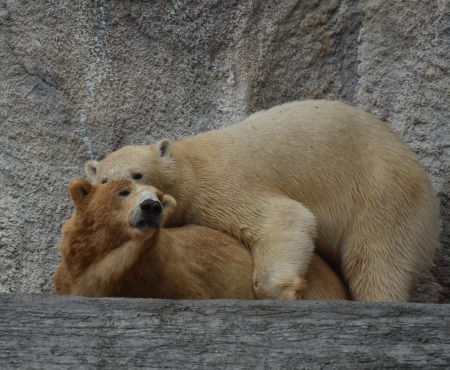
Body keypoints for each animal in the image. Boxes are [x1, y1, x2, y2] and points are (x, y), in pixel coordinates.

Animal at [84, 100, 440, 300]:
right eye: (104, 181)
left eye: (137, 174)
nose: (140, 204)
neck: (189, 162)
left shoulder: (222, 183)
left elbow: (283, 217)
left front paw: (282, 291)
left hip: (385, 194)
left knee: (375, 258)